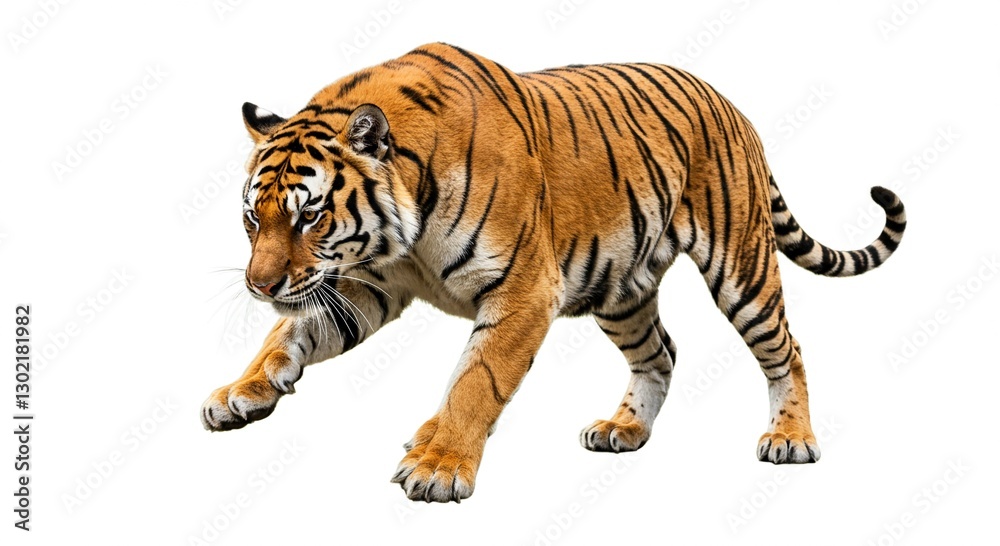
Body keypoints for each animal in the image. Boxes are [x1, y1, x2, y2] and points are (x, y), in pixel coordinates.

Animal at [200, 42, 906, 503]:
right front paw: (243, 391)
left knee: (787, 349)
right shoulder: (365, 285)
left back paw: (791, 438)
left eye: (310, 215)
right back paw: (625, 428)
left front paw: (439, 466)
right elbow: (286, 336)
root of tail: (729, 101)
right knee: (661, 352)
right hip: (619, 289)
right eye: (253, 219)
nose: (259, 286)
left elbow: (475, 381)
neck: (404, 234)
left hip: (741, 268)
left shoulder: (521, 293)